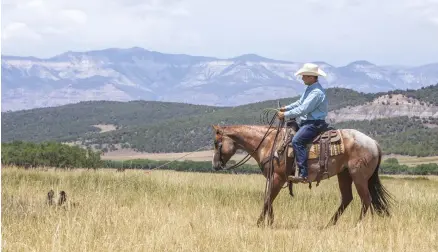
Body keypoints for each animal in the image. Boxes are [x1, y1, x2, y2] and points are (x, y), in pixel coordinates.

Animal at [210, 121, 396, 227]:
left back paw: (357, 226)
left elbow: (268, 198)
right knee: (347, 199)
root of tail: (374, 143)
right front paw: (268, 222)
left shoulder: (278, 177)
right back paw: (329, 225)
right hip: (344, 175)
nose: (215, 165)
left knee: (366, 200)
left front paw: (260, 223)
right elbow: (268, 198)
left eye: (217, 143)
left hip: (359, 177)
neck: (269, 143)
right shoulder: (273, 178)